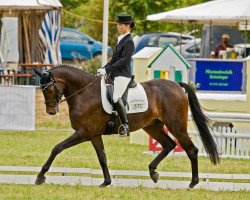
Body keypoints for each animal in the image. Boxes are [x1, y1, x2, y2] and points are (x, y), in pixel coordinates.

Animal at [33, 65, 219, 188]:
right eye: (42, 89)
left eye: (49, 89)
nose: (51, 111)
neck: (84, 93)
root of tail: (176, 85)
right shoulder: (94, 134)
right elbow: (102, 157)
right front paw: (106, 182)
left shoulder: (84, 133)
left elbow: (57, 148)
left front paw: (40, 177)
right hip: (153, 126)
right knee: (169, 145)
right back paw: (153, 172)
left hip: (176, 125)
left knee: (191, 149)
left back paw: (193, 183)